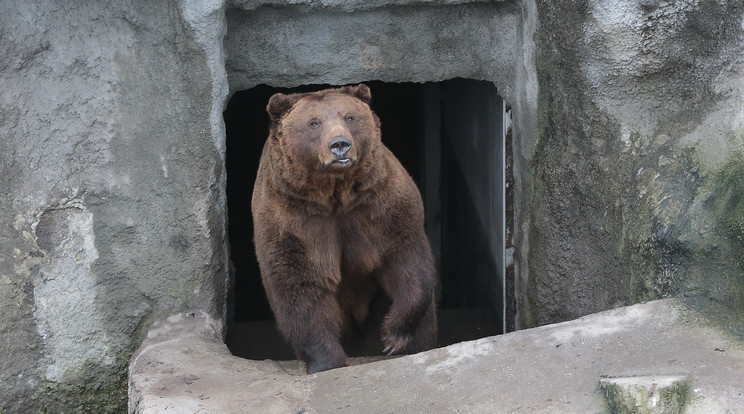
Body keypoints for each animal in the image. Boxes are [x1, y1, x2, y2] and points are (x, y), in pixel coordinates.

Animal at [250, 82, 436, 374]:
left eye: (349, 117)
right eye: (314, 122)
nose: (340, 144)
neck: (335, 194)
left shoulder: (382, 204)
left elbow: (406, 259)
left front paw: (392, 338)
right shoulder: (293, 220)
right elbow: (300, 284)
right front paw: (327, 361)